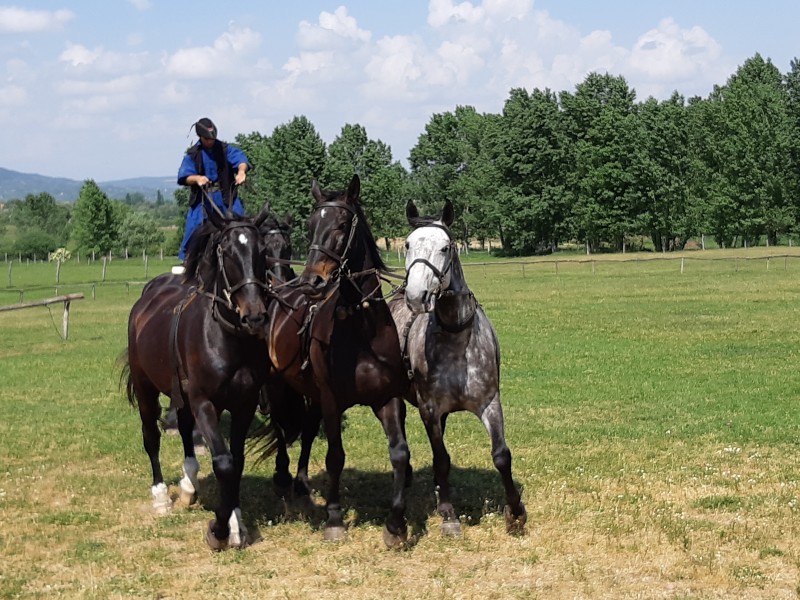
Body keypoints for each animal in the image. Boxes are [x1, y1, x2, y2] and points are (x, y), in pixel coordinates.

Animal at [122, 204, 276, 552]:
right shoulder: (205, 402)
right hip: (146, 389)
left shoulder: (244, 405)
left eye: (262, 250)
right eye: (227, 251)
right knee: (151, 436)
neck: (227, 339)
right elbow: (224, 463)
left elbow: (236, 461)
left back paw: (189, 484)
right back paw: (161, 497)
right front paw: (219, 529)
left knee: (185, 430)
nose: (255, 315)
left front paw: (236, 524)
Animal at [390, 199, 528, 536]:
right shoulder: (429, 409)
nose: (417, 296)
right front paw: (449, 514)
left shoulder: (490, 403)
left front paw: (515, 512)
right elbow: (441, 459)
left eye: (445, 247)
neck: (456, 335)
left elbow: (501, 456)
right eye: (408, 244)